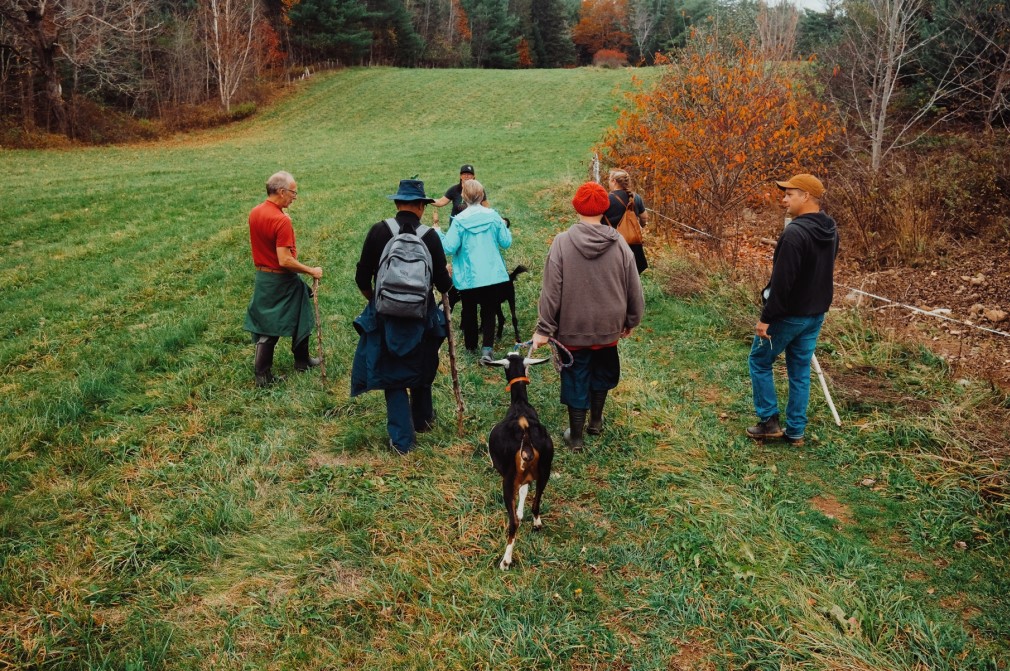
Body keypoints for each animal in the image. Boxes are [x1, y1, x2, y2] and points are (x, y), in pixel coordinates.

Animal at [478, 351, 553, 569]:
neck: (520, 405)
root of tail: (524, 429)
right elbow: (525, 490)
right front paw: (521, 510)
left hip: (508, 481)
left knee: (513, 524)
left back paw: (505, 560)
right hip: (545, 472)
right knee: (536, 504)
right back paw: (536, 523)